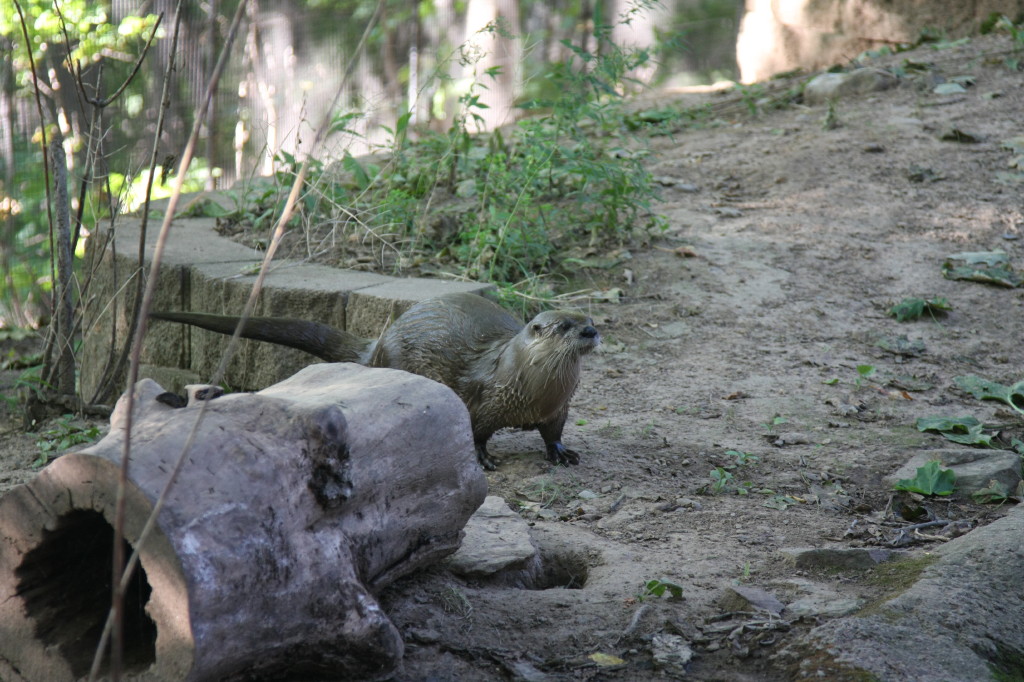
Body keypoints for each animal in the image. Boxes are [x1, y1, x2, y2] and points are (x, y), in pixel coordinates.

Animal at [151, 292, 600, 469]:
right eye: (564, 326)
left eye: (589, 318)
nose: (591, 331)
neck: (530, 390)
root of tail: (380, 342)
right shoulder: (484, 397)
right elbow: (476, 430)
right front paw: (483, 458)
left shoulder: (559, 407)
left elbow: (554, 432)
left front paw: (562, 452)